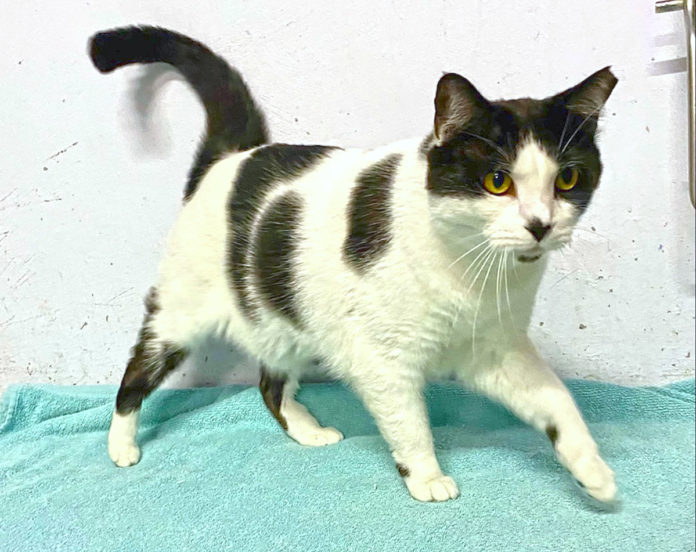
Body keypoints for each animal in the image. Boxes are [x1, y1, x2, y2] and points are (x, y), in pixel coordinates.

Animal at [89, 29, 616, 504]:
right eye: (497, 181)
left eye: (568, 179)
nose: (540, 225)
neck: (470, 273)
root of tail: (232, 157)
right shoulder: (384, 358)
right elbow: (408, 420)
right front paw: (426, 477)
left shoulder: (494, 347)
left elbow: (555, 399)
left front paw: (590, 467)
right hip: (184, 309)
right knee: (138, 370)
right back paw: (121, 445)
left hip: (288, 319)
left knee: (270, 382)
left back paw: (305, 429)